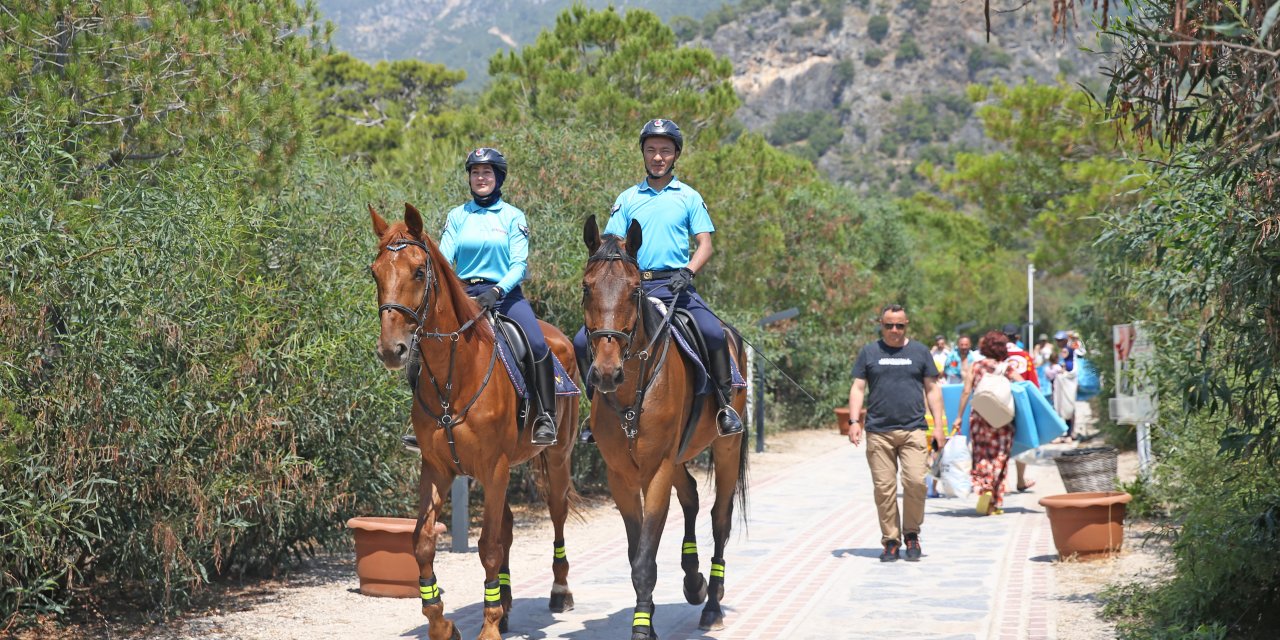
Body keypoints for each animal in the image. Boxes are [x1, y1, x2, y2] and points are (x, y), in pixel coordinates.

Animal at [371, 200, 581, 640]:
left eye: (419, 271)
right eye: (375, 271)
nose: (391, 349)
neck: (456, 374)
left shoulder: (494, 468)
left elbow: (487, 547)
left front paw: (488, 628)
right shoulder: (437, 468)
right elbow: (422, 542)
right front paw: (442, 623)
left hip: (556, 458)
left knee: (556, 515)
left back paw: (559, 592)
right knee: (508, 528)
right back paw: (507, 604)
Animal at [581, 217, 747, 637]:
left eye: (634, 289)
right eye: (586, 287)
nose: (606, 373)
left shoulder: (655, 470)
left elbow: (645, 557)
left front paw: (643, 627)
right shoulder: (621, 475)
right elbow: (635, 551)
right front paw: (650, 615)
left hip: (726, 448)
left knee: (719, 519)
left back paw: (712, 604)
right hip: (678, 456)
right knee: (691, 498)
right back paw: (693, 581)